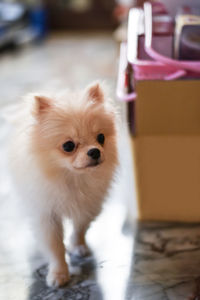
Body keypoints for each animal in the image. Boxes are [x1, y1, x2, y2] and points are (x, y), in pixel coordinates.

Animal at [9, 81, 118, 286]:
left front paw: (78, 246)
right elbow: (55, 246)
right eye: (68, 146)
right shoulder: (46, 215)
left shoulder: (88, 205)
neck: (72, 178)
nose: (95, 151)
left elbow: (81, 227)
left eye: (101, 138)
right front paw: (59, 274)